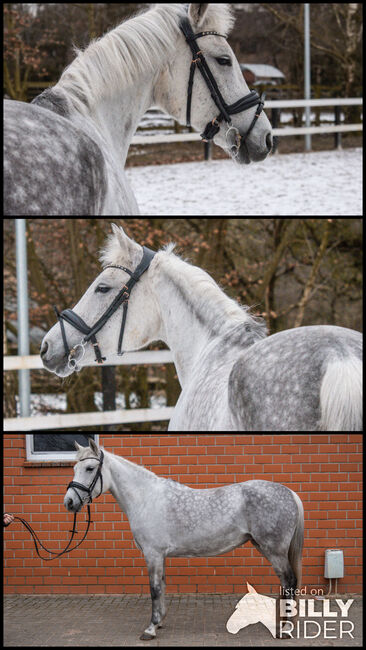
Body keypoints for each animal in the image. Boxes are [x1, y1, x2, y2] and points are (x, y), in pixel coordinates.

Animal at [65, 440, 304, 636]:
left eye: (89, 468)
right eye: (75, 468)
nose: (69, 502)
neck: (146, 498)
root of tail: (290, 493)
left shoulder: (153, 554)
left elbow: (154, 589)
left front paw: (150, 629)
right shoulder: (159, 556)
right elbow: (162, 585)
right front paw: (160, 621)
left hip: (274, 550)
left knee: (289, 581)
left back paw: (285, 628)